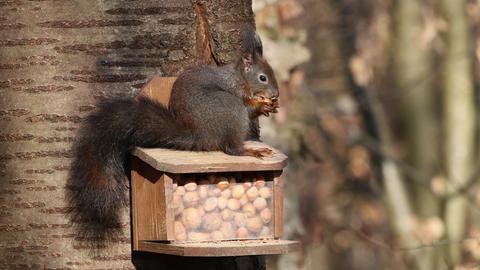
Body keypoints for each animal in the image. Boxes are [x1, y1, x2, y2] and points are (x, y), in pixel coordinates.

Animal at [65, 26, 280, 243]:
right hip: (230, 108)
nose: (275, 95)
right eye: (263, 77)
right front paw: (262, 105)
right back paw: (252, 152)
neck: (240, 78)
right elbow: (248, 107)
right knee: (232, 149)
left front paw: (269, 107)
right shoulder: (236, 91)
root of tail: (200, 135)